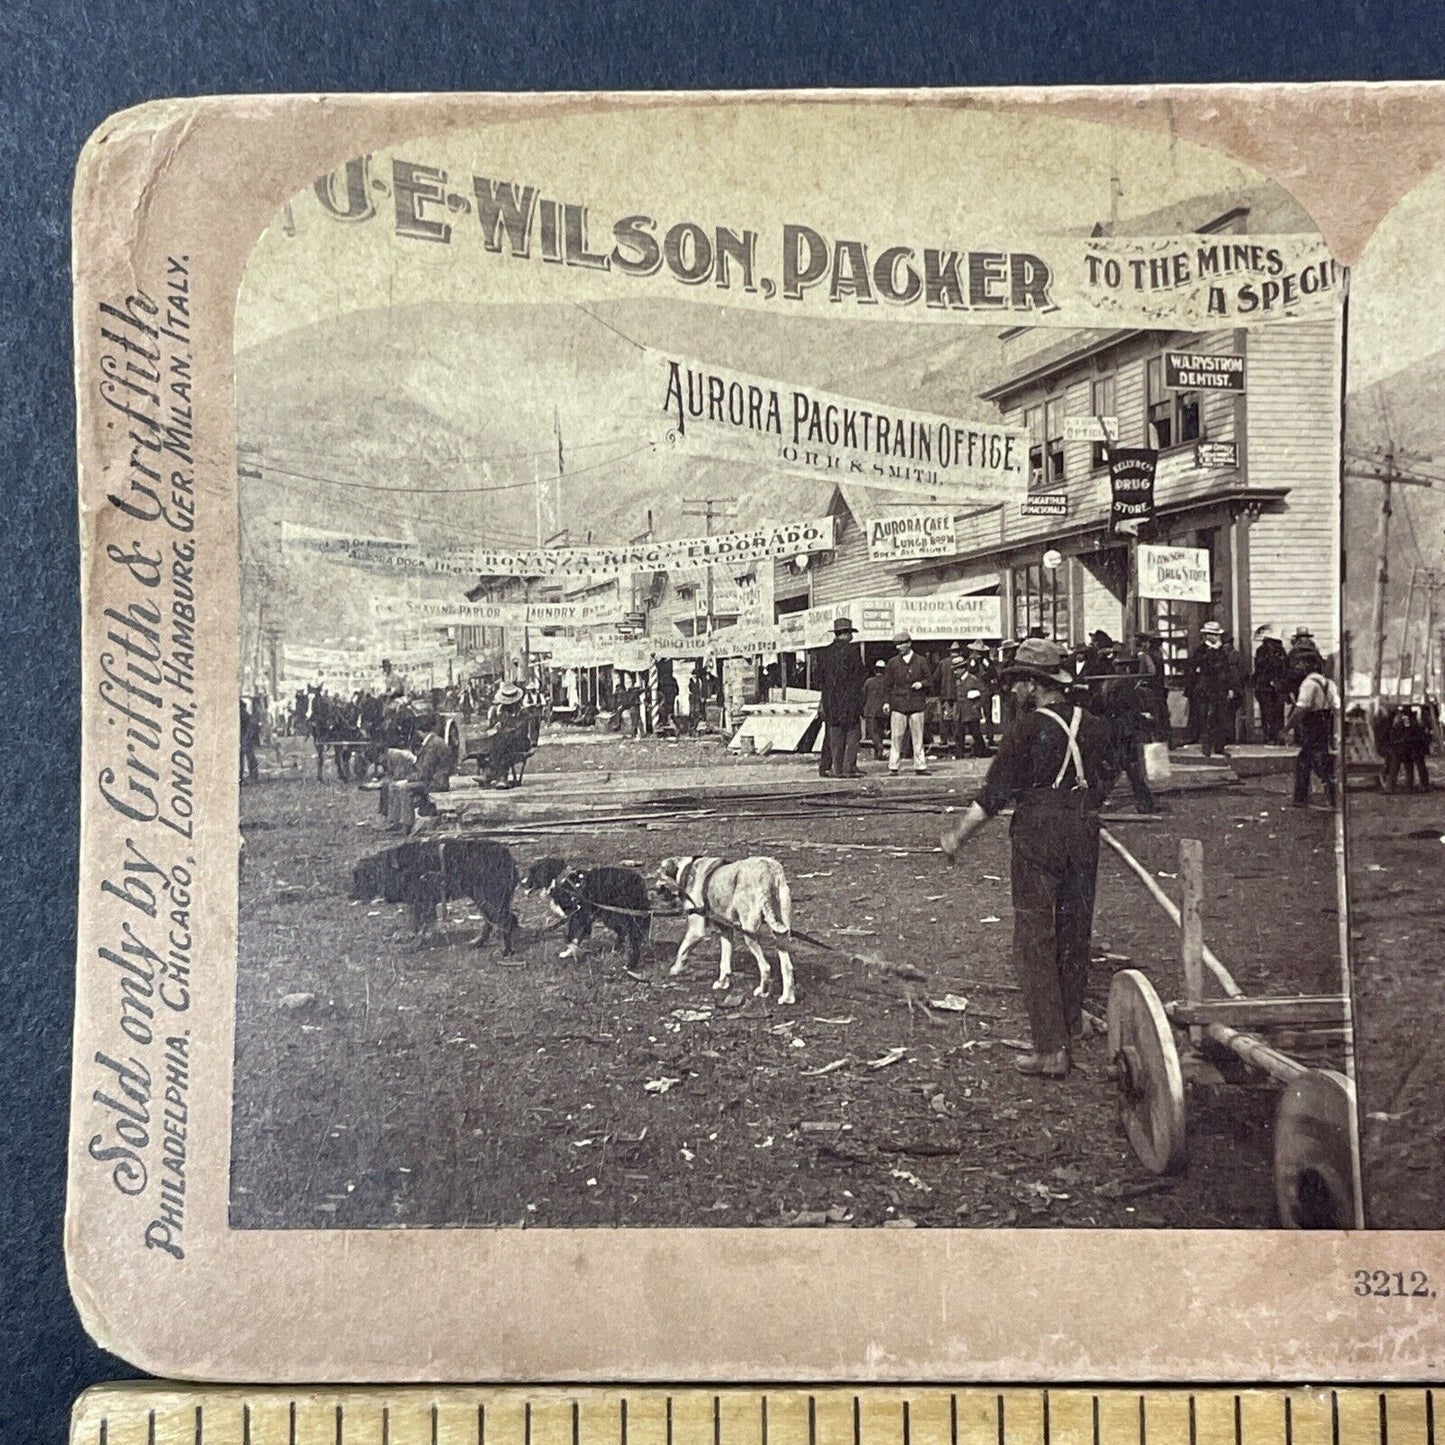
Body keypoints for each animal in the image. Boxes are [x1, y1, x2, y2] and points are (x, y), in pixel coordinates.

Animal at [658, 855, 797, 1005]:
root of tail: (769, 871)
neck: (686, 869)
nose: (656, 889)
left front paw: (675, 969)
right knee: (787, 967)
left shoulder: (696, 931)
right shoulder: (726, 930)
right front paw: (722, 982)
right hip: (781, 934)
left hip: (749, 933)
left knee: (765, 967)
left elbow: (682, 950)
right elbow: (724, 962)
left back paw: (763, 991)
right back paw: (787, 997)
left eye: (659, 874)